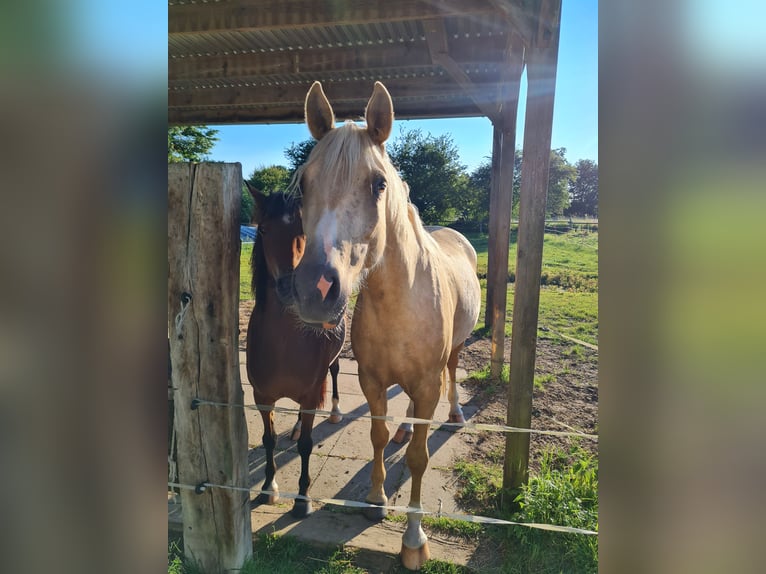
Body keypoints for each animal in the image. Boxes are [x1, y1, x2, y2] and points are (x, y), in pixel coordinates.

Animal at [244, 187, 346, 520]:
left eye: (305, 231)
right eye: (263, 230)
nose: (290, 288)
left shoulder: (311, 395)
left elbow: (306, 446)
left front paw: (303, 499)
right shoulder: (262, 396)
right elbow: (269, 439)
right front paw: (268, 488)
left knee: (335, 372)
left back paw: (336, 412)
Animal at [292, 82, 484, 572]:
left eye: (379, 183)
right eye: (304, 182)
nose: (314, 289)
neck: (399, 300)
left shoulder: (426, 382)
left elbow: (418, 459)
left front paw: (413, 540)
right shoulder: (372, 379)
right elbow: (377, 436)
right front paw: (376, 498)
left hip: (453, 353)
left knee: (450, 377)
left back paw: (455, 414)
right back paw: (404, 428)